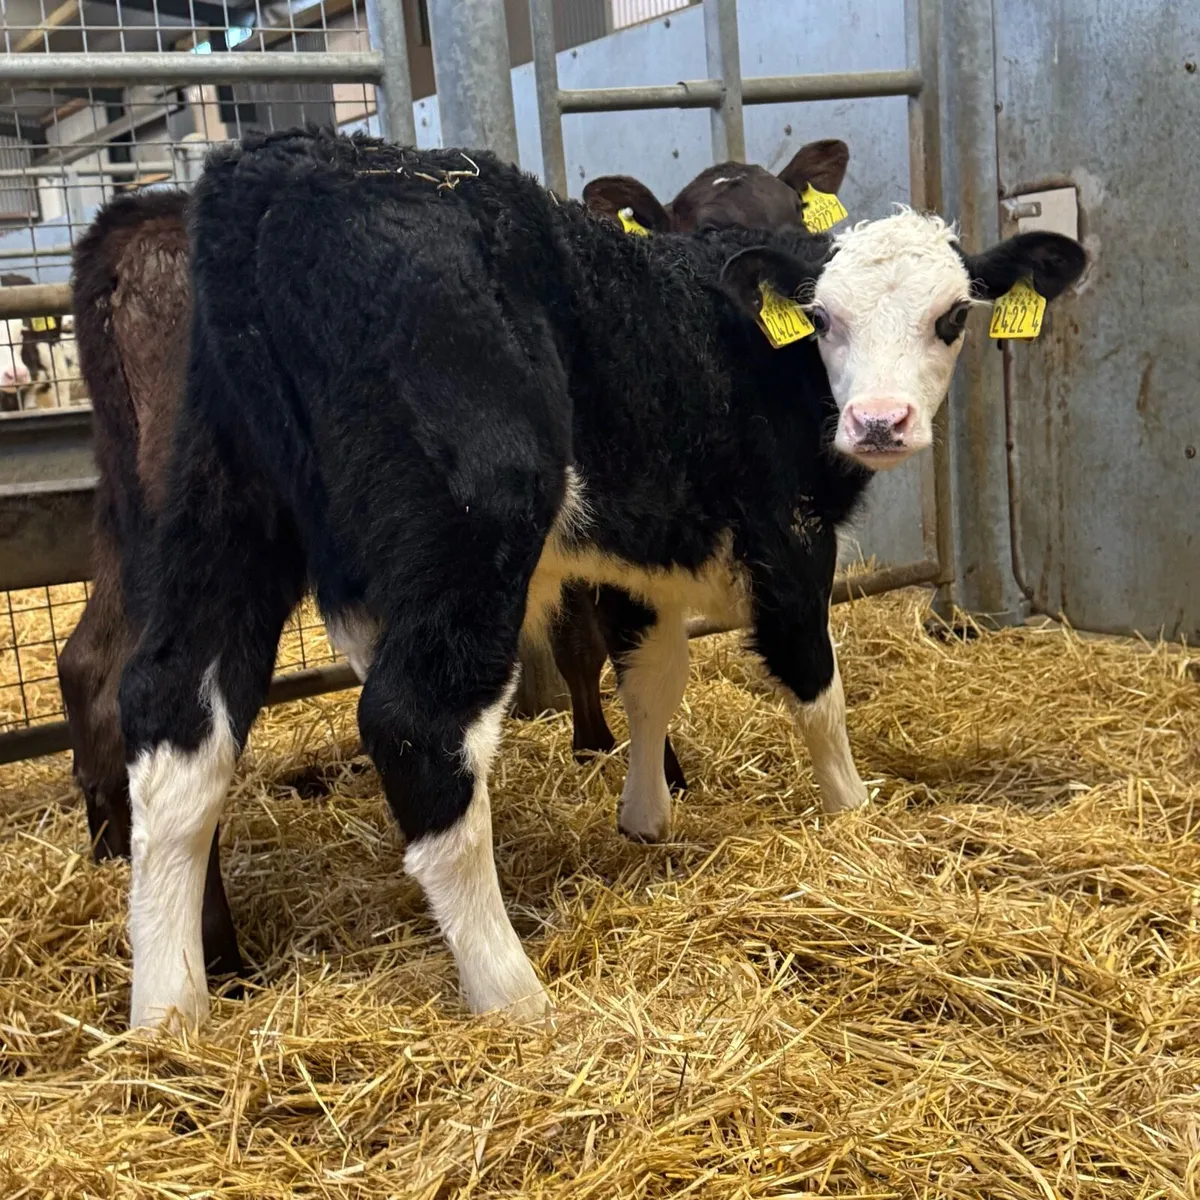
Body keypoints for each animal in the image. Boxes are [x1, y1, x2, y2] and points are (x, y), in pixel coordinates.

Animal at [113, 128, 1084, 1030]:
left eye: (951, 317)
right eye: (822, 318)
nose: (880, 422)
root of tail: (280, 163)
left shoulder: (642, 562)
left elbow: (654, 679)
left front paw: (646, 819)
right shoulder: (788, 535)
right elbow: (816, 686)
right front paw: (853, 818)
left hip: (222, 506)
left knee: (176, 727)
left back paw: (168, 1018)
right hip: (477, 521)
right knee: (416, 724)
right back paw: (513, 996)